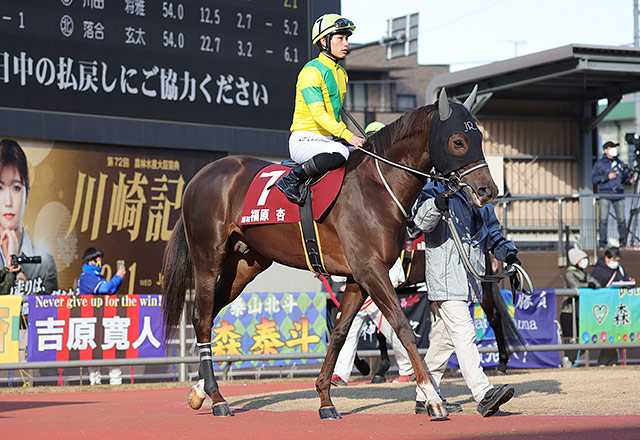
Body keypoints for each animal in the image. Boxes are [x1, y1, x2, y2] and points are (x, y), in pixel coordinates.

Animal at [161, 87, 500, 422]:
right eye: (458, 141)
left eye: (480, 139)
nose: (487, 190)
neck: (376, 187)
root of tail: (201, 176)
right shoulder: (372, 270)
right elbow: (402, 326)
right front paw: (433, 398)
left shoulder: (358, 278)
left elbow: (339, 333)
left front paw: (325, 400)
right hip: (208, 259)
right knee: (202, 316)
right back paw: (218, 398)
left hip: (245, 265)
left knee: (209, 313)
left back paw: (199, 390)